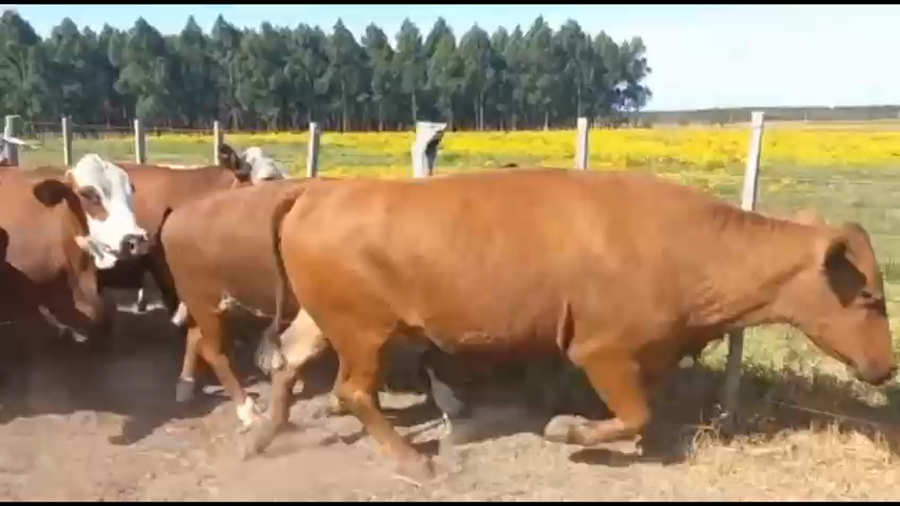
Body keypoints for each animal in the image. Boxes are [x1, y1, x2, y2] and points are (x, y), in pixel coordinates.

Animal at [245, 168, 895, 480]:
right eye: (867, 295)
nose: (887, 367)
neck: (686, 245)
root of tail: (317, 193)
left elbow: (647, 413)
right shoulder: (601, 350)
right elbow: (634, 414)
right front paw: (567, 431)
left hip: (325, 321)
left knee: (288, 359)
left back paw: (264, 436)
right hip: (364, 332)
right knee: (353, 389)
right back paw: (412, 461)